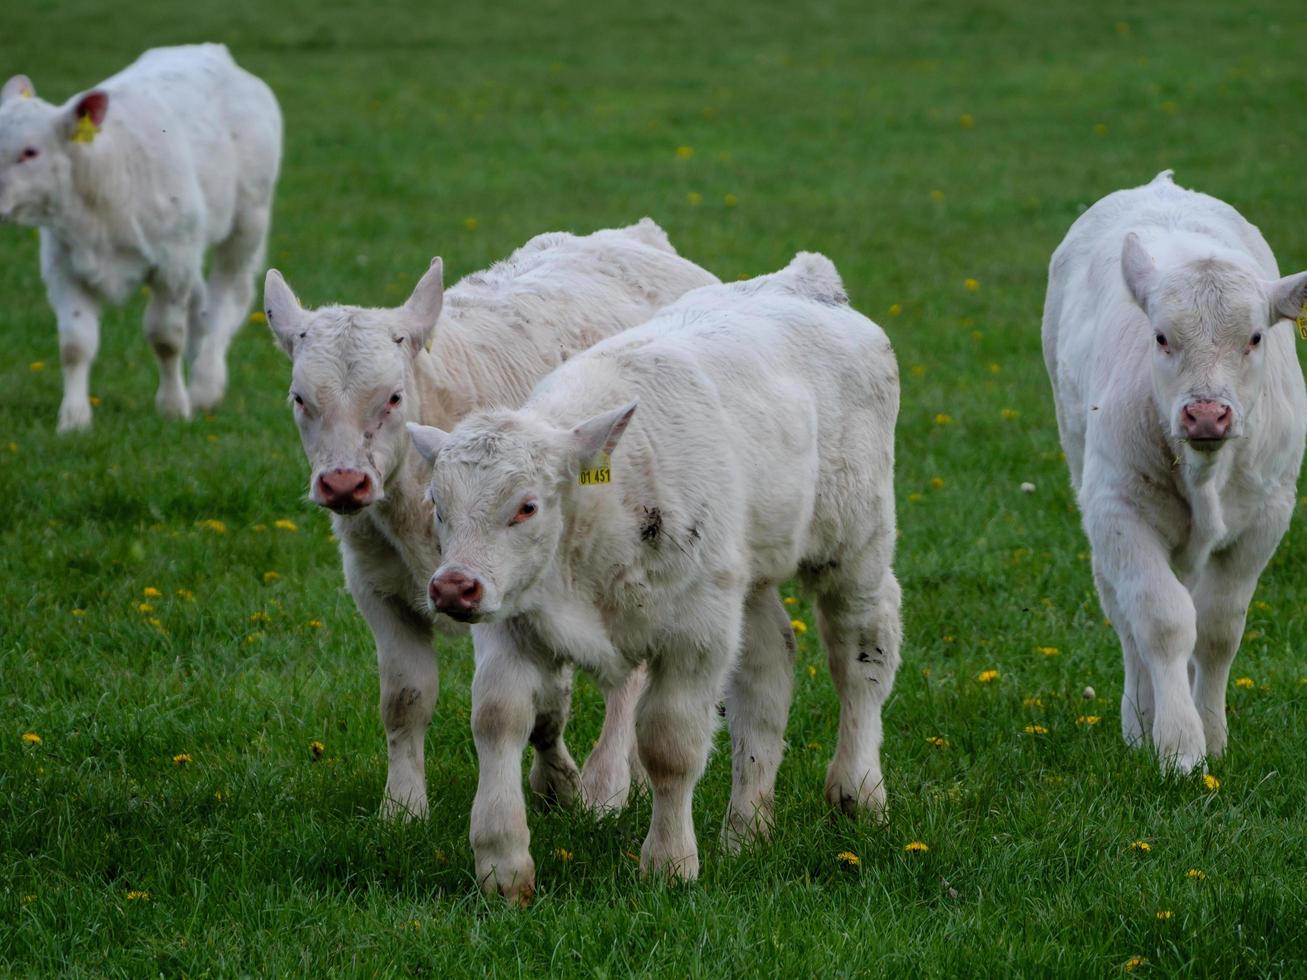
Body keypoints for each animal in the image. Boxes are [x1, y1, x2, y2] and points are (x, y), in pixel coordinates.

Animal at [0, 45, 281, 428]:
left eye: (30, 152)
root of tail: (211, 50)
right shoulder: (62, 266)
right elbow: (75, 345)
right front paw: (74, 418)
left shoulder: (171, 266)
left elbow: (164, 337)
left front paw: (173, 407)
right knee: (200, 300)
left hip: (247, 217)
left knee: (228, 296)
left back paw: (206, 385)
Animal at [261, 220, 721, 820]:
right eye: (299, 399)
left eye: (393, 397)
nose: (342, 483)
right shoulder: (377, 589)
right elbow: (406, 699)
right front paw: (403, 806)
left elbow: (536, 703)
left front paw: (563, 783)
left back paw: (611, 781)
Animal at [1040, 172, 1307, 778]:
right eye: (1161, 337)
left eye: (1255, 337)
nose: (1206, 413)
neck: (1206, 473)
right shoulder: (1118, 510)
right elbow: (1162, 623)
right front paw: (1177, 744)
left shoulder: (1267, 519)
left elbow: (1217, 629)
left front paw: (1212, 733)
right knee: (1126, 613)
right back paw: (1140, 721)